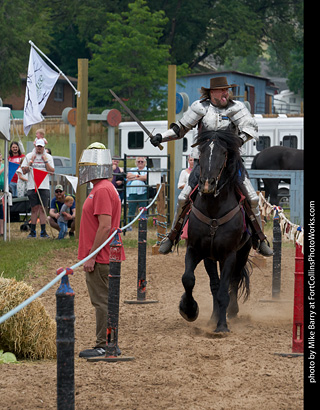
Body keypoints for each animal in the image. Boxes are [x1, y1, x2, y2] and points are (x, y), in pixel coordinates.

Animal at [180, 129, 252, 334]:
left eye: (224, 153)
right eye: (202, 152)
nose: (207, 184)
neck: (214, 209)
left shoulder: (229, 255)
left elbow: (224, 290)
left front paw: (222, 326)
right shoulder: (196, 250)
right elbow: (188, 279)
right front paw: (189, 309)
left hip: (242, 253)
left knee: (234, 280)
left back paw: (231, 312)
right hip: (211, 258)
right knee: (215, 284)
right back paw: (214, 316)